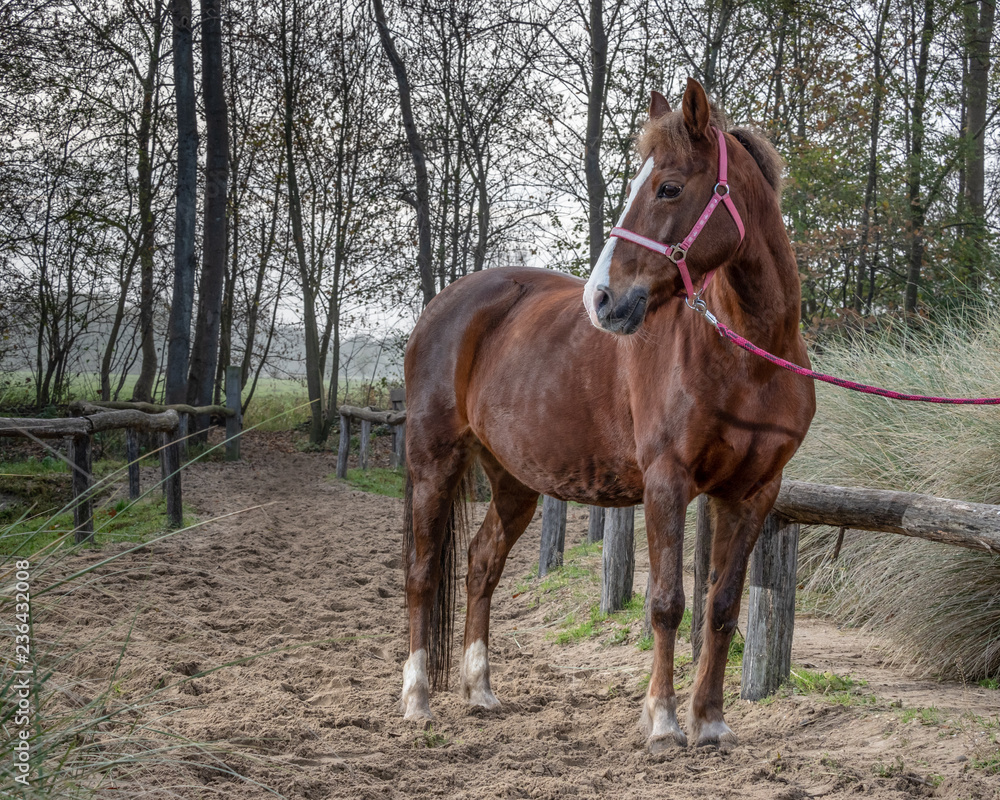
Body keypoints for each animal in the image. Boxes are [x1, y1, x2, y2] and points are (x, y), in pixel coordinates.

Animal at [399, 77, 815, 751]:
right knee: (422, 571)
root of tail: (444, 305)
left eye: (668, 187)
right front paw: (664, 721)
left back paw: (480, 690)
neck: (747, 356)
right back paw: (417, 699)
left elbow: (722, 607)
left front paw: (711, 721)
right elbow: (668, 602)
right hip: (434, 459)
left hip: (513, 477)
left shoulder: (753, 492)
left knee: (482, 563)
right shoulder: (667, 483)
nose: (602, 299)